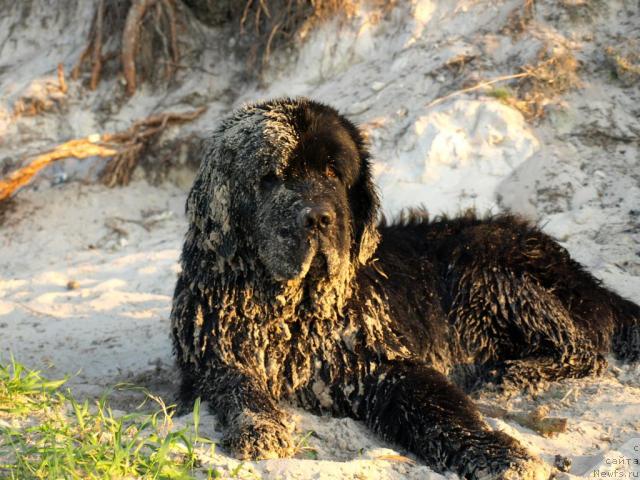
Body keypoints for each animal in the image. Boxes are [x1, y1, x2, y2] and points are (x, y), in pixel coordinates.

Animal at [171, 95, 640, 478]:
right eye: (272, 177)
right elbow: (238, 385)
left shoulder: (385, 365)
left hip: (482, 271)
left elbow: (442, 409)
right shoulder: (213, 355)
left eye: (333, 173)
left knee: (585, 348)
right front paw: (261, 427)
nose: (318, 217)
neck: (294, 312)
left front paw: (499, 454)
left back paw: (510, 373)